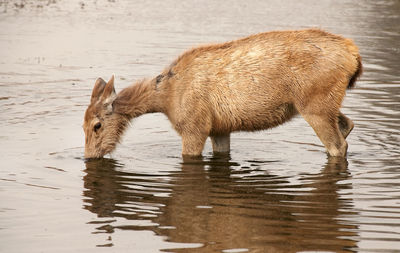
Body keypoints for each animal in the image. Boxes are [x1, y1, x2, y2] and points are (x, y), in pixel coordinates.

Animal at [83, 28, 360, 159]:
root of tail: (354, 54)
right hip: (320, 104)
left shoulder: (194, 127)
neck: (165, 100)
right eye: (82, 125)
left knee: (338, 145)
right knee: (347, 124)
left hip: (315, 105)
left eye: (97, 125)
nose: (89, 157)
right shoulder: (219, 128)